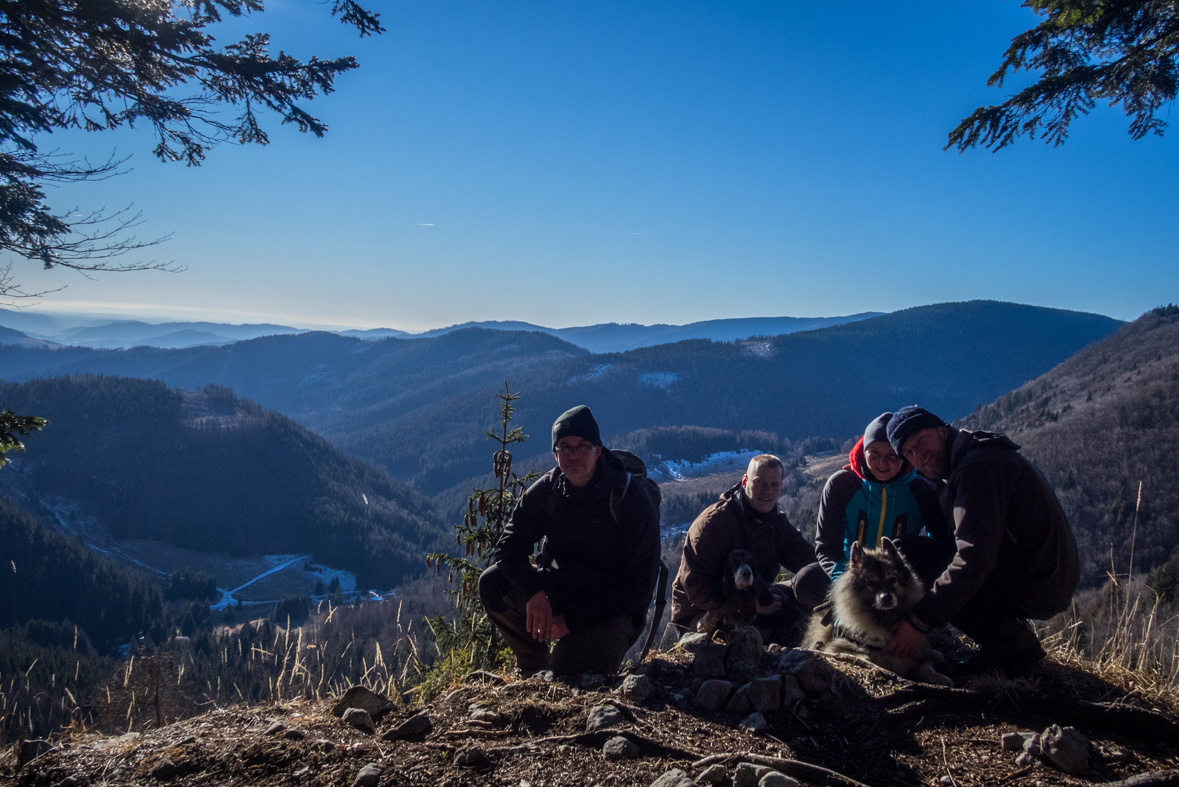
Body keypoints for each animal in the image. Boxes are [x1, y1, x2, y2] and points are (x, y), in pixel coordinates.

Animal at [806, 537, 952, 683]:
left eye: (892, 579)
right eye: (870, 583)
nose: (886, 597)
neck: (885, 618)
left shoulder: (913, 650)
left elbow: (924, 666)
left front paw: (940, 677)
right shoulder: (839, 647)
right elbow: (866, 658)